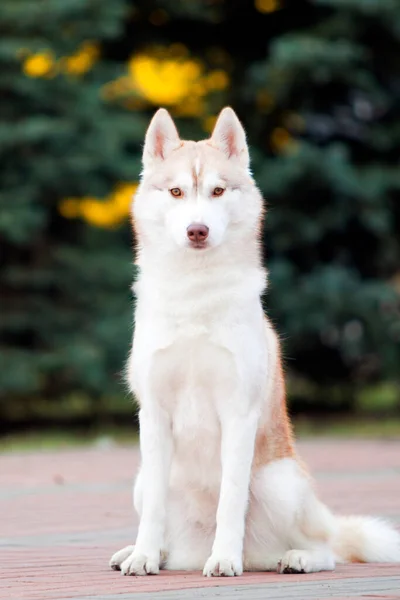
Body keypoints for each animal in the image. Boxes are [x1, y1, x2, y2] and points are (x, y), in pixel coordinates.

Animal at [109, 106, 400, 576]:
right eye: (176, 191)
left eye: (217, 190)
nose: (197, 230)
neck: (195, 294)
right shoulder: (152, 415)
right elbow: (153, 509)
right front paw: (143, 556)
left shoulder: (237, 414)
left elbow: (231, 500)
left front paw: (225, 559)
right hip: (140, 479)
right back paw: (147, 553)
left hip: (280, 482)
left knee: (326, 550)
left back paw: (292, 558)